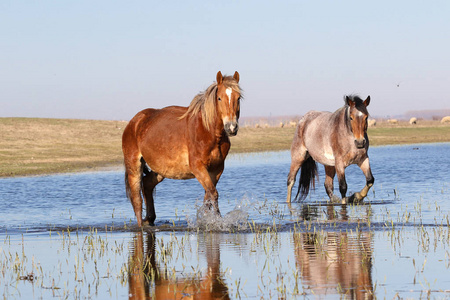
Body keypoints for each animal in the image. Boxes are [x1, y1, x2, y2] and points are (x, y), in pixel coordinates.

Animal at [121, 72, 241, 227]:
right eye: (219, 98)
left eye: (238, 98)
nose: (231, 127)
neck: (208, 131)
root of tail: (134, 121)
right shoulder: (197, 167)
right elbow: (213, 194)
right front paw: (218, 221)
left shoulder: (217, 169)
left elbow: (208, 196)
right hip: (134, 166)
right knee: (137, 200)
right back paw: (142, 225)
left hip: (160, 170)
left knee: (147, 185)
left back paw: (150, 219)